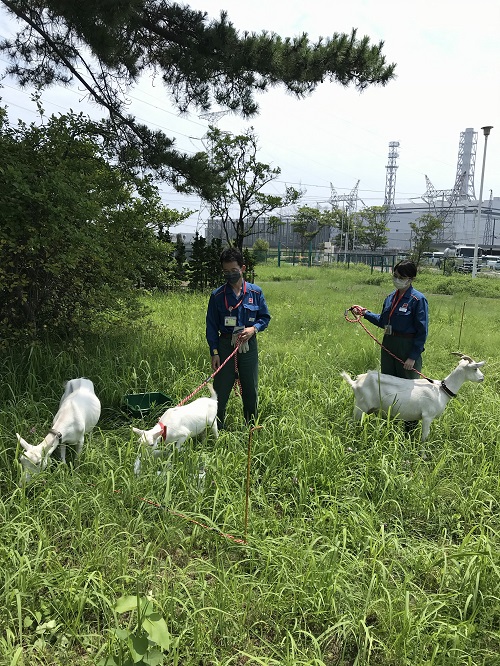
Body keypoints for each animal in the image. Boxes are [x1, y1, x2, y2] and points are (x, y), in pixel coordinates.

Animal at [340, 352, 484, 440]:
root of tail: (356, 383)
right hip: (360, 407)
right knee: (351, 423)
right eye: (475, 368)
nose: (482, 377)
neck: (441, 390)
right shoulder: (427, 416)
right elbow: (424, 437)